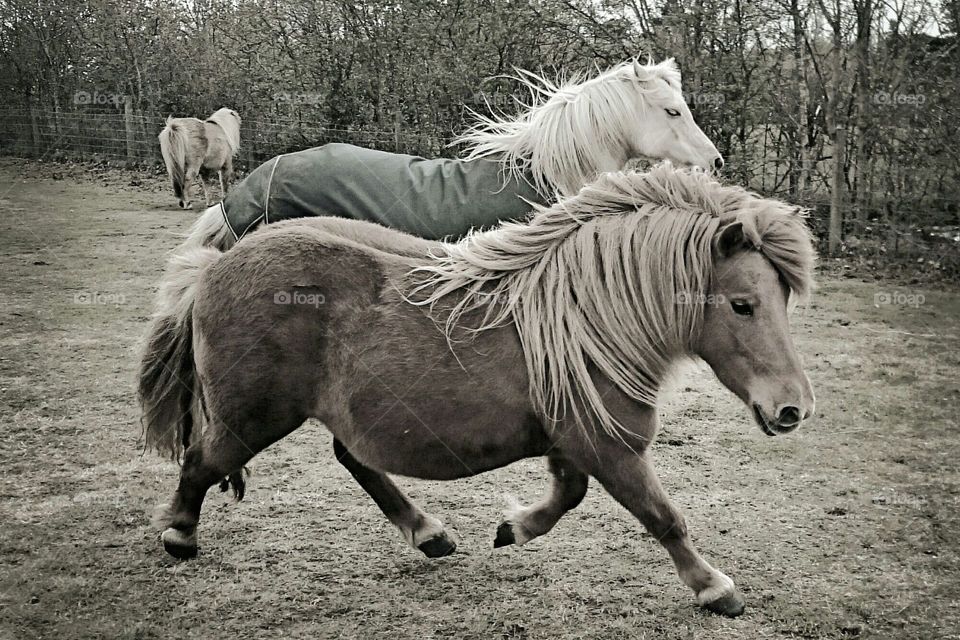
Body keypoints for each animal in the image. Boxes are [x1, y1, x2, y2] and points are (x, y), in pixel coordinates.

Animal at [139, 164, 816, 618]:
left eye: (784, 299)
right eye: (742, 304)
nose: (793, 409)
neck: (585, 317)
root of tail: (215, 267)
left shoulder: (572, 444)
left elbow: (568, 497)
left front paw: (514, 528)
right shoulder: (611, 449)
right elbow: (663, 516)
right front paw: (713, 587)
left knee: (353, 459)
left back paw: (428, 533)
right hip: (251, 419)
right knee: (201, 462)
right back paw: (180, 535)